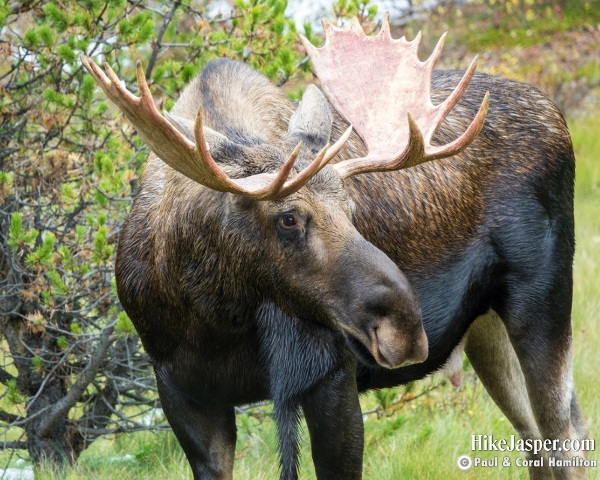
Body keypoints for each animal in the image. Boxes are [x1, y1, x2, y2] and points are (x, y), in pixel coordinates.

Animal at [82, 15, 588, 480]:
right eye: (287, 218)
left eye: (352, 208)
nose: (406, 328)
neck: (215, 314)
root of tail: (554, 109)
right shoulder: (182, 395)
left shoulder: (331, 377)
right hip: (484, 324)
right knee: (535, 437)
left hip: (542, 294)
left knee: (566, 434)